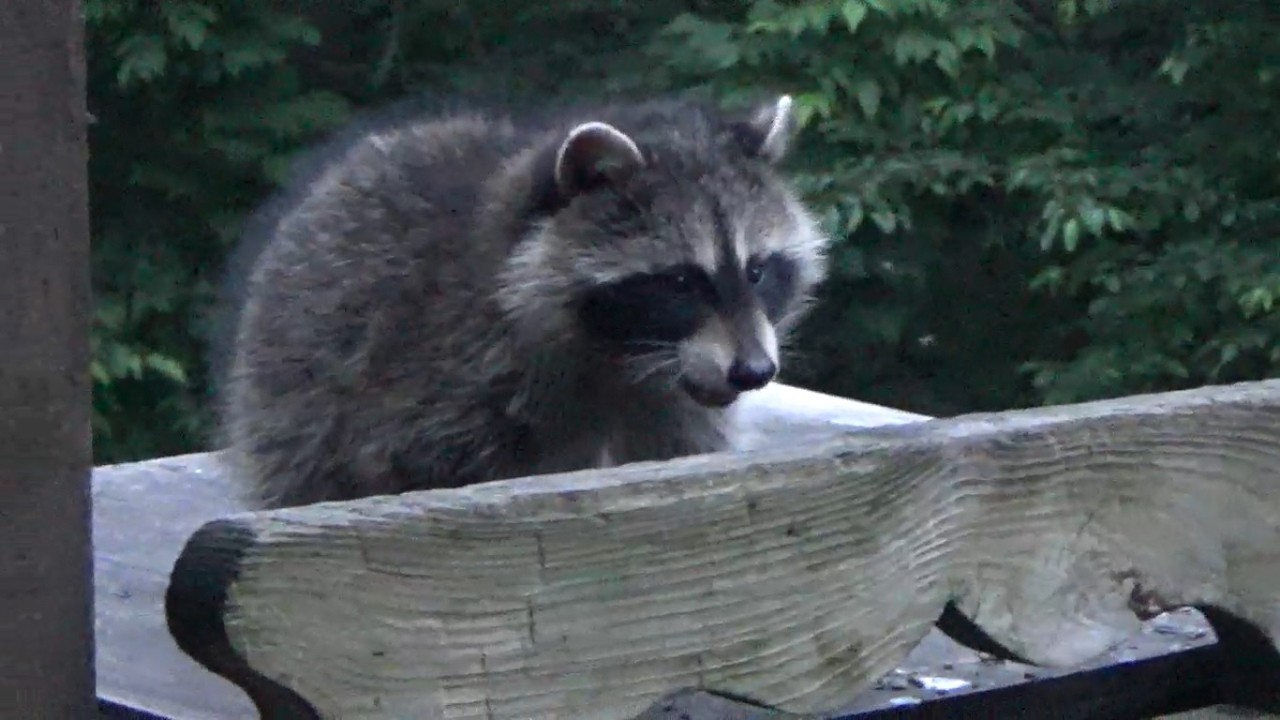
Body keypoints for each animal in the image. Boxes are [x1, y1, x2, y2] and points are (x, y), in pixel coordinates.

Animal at [220, 93, 830, 509]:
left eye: (757, 271)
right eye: (680, 282)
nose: (754, 370)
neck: (619, 362)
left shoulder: (674, 412)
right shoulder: (437, 379)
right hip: (293, 391)